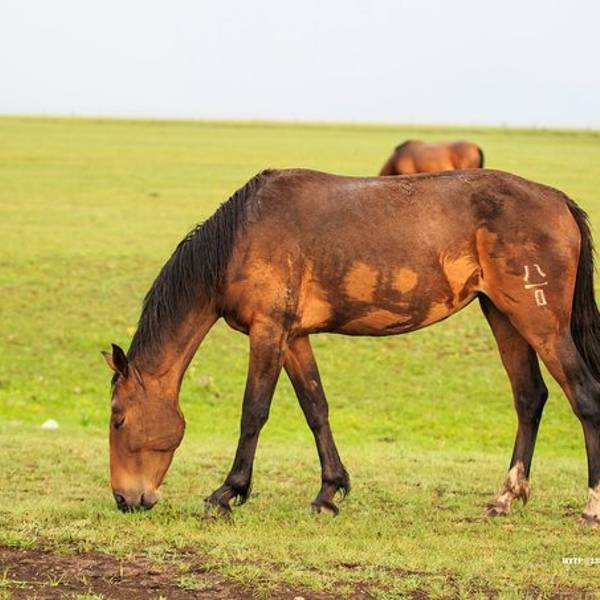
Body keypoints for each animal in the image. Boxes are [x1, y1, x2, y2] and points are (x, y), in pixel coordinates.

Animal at [103, 167, 600, 526]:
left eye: (118, 417)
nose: (125, 499)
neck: (241, 237)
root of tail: (559, 201)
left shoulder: (268, 331)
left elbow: (253, 412)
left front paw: (228, 492)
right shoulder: (293, 337)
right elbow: (316, 409)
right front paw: (329, 492)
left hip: (541, 323)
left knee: (585, 397)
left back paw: (591, 507)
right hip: (504, 317)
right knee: (529, 398)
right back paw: (506, 497)